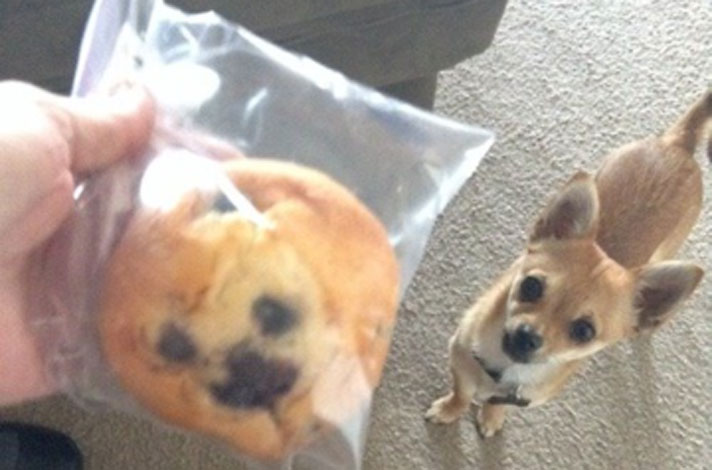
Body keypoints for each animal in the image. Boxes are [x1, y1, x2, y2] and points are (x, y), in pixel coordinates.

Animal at [425, 90, 711, 437]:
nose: (527, 336)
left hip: (668, 249)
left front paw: (492, 416)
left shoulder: (524, 397)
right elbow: (462, 392)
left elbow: (498, 402)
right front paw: (449, 410)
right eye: (531, 286)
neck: (503, 371)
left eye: (584, 331)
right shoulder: (459, 357)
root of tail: (679, 144)